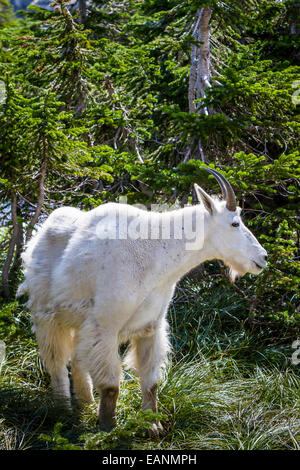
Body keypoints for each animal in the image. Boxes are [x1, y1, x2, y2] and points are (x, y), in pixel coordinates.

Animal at [18, 168, 268, 434]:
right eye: (235, 223)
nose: (263, 257)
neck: (154, 251)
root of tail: (36, 238)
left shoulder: (151, 326)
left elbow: (151, 382)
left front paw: (153, 426)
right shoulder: (105, 326)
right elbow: (111, 386)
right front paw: (109, 429)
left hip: (78, 322)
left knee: (77, 361)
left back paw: (86, 407)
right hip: (46, 316)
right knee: (56, 364)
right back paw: (64, 409)